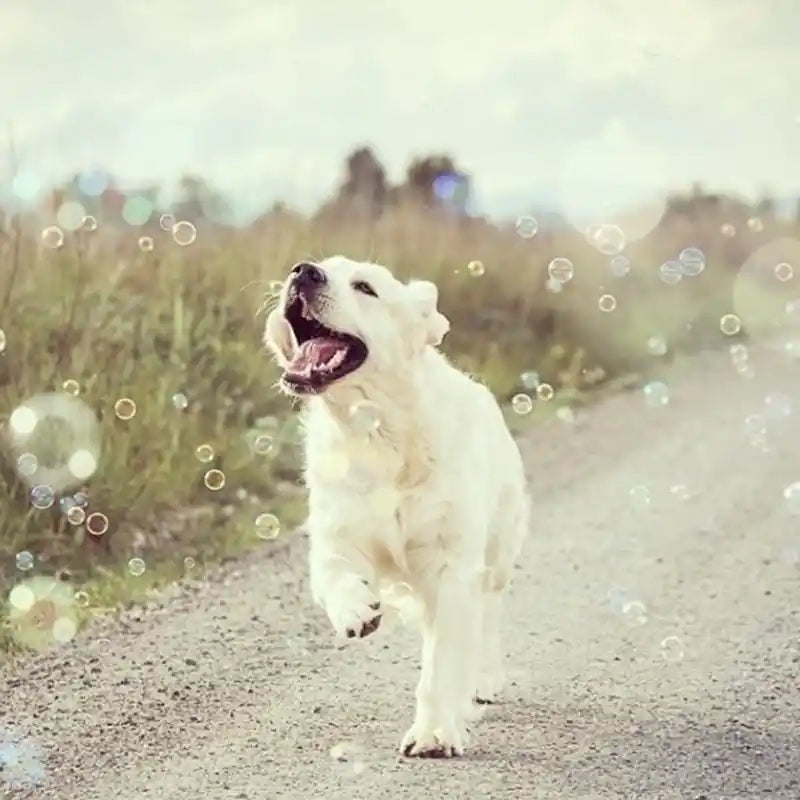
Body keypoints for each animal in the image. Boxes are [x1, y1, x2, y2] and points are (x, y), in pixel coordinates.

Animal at [264, 256, 532, 756]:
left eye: (365, 287)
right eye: (319, 266)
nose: (303, 272)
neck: (377, 433)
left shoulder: (452, 567)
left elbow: (441, 665)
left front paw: (435, 733)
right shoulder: (336, 533)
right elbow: (334, 573)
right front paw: (356, 610)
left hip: (497, 552)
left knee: (487, 615)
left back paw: (483, 679)